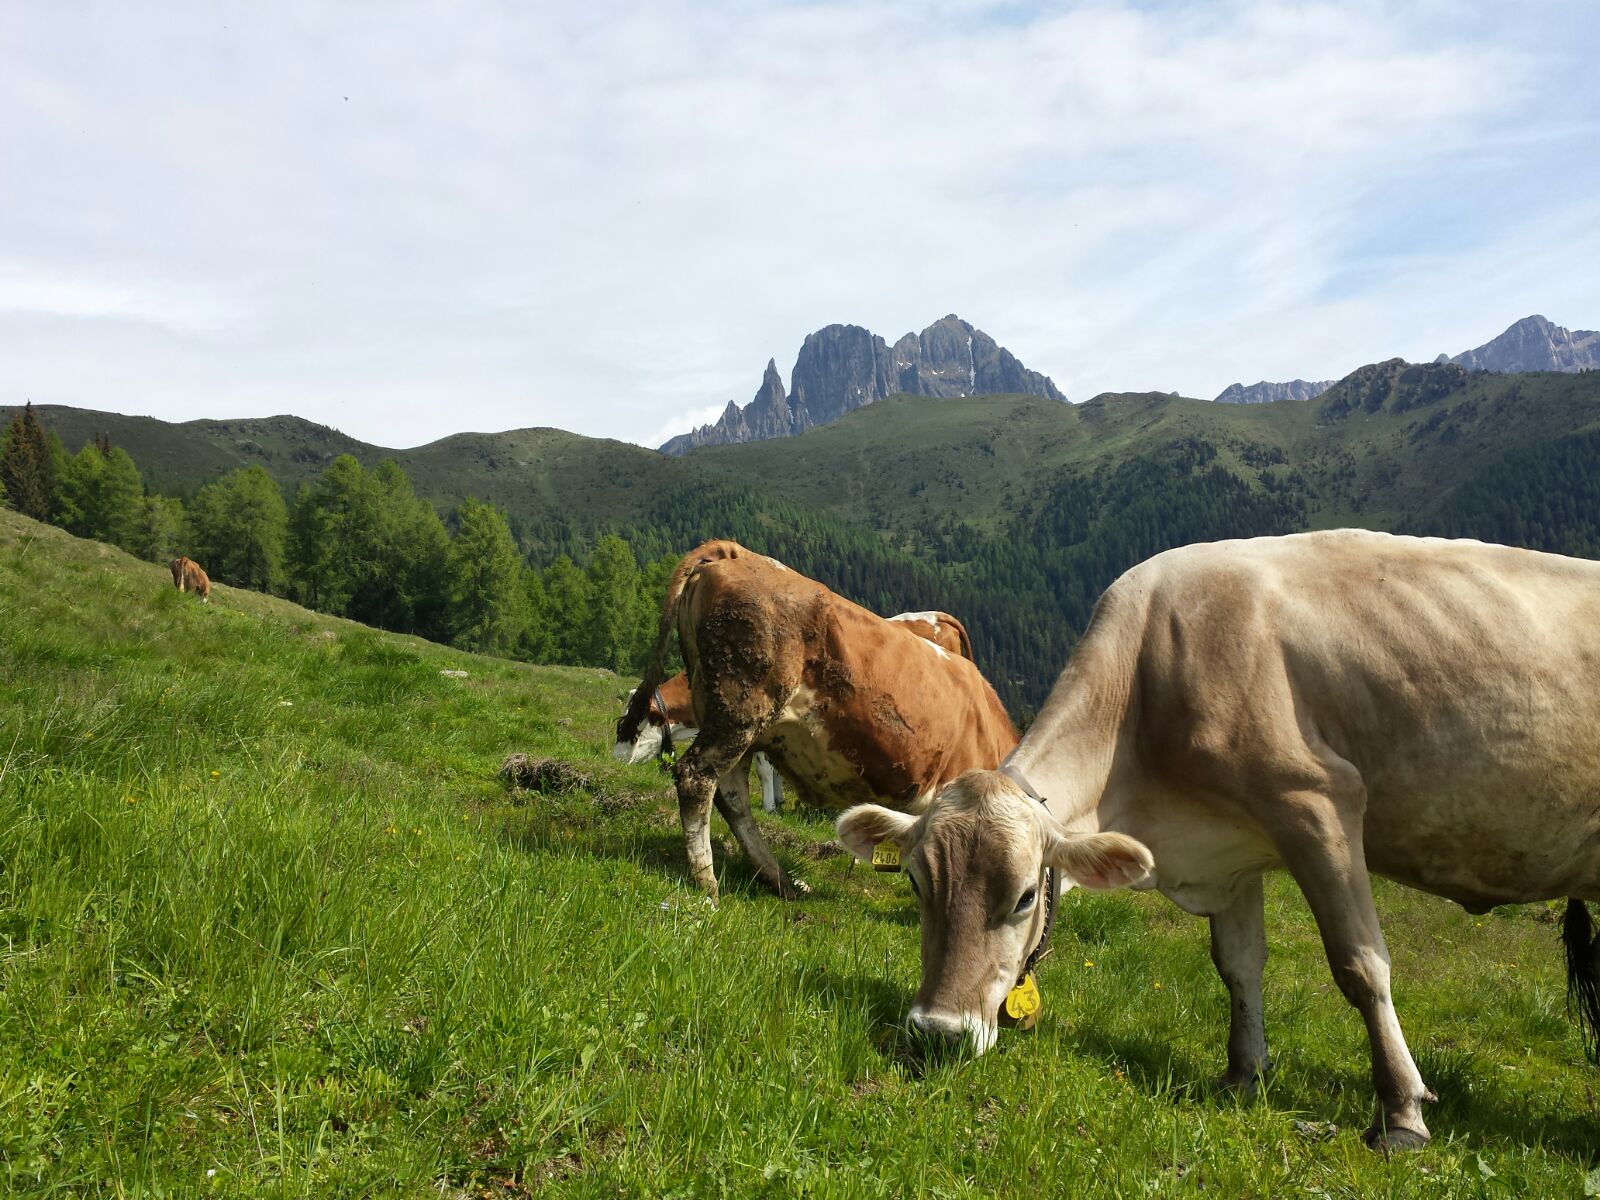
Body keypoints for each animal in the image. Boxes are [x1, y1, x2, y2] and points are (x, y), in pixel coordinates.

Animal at [838, 534, 1600, 1158]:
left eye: (1026, 895)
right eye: (916, 883)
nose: (936, 1031)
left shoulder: (1316, 802)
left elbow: (1361, 967)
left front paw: (1401, 1113)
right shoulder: (1232, 850)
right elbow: (1237, 965)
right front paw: (1243, 1073)